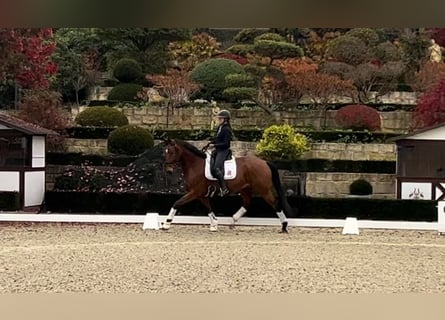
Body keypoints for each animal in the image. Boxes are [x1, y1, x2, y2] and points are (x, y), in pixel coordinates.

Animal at [161, 138, 294, 232]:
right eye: (165, 152)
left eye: (171, 151)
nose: (168, 170)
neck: (195, 164)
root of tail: (264, 162)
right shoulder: (201, 194)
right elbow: (208, 208)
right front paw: (214, 224)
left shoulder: (195, 192)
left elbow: (177, 203)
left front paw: (166, 224)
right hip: (245, 189)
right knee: (247, 203)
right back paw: (233, 221)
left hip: (264, 190)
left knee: (275, 204)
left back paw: (284, 226)